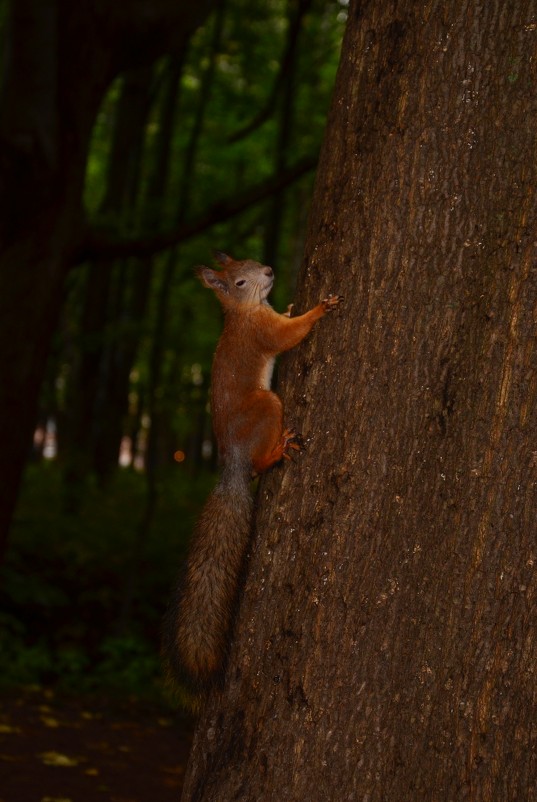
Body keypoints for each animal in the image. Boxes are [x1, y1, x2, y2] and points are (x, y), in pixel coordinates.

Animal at [161, 252, 342, 688]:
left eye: (252, 260)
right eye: (240, 282)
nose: (270, 271)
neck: (245, 312)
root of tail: (235, 462)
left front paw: (292, 305)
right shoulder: (262, 331)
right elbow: (287, 336)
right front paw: (316, 310)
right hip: (268, 405)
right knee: (263, 457)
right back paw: (276, 453)